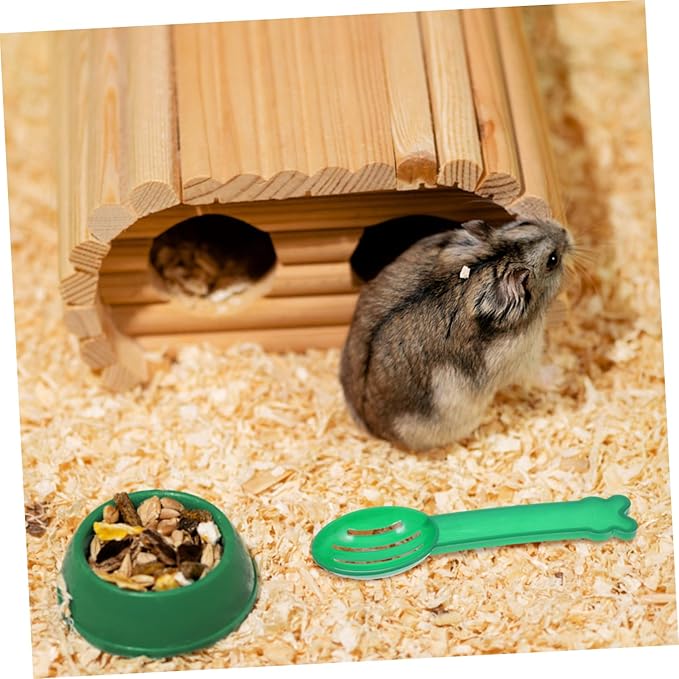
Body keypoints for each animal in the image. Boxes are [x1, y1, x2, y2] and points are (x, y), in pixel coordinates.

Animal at [339, 216, 573, 451]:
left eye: (525, 222)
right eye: (552, 260)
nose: (565, 231)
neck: (492, 261)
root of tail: (371, 428)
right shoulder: (523, 357)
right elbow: (537, 375)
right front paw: (560, 375)